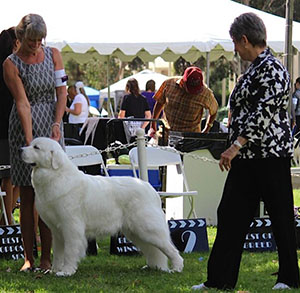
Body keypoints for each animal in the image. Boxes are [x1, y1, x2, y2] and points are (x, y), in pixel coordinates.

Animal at [21, 137, 183, 276]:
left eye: (36, 147)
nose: (20, 149)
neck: (55, 175)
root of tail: (150, 189)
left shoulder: (71, 227)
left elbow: (69, 251)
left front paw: (66, 272)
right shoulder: (57, 230)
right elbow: (58, 253)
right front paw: (54, 270)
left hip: (147, 229)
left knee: (170, 250)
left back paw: (176, 268)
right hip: (136, 232)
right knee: (153, 250)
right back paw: (154, 267)